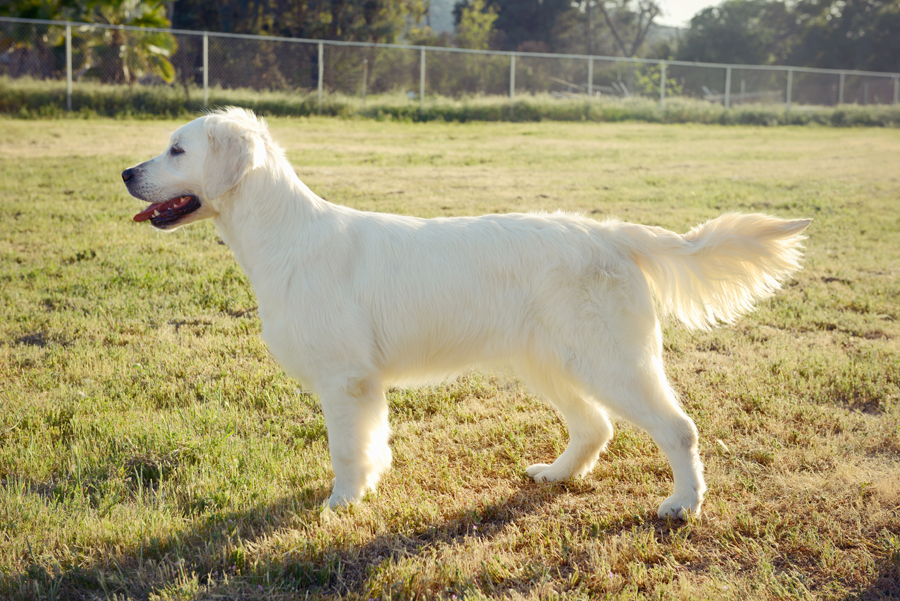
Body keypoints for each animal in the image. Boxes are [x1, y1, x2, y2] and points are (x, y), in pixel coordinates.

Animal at [121, 109, 808, 520]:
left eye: (176, 150)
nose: (126, 172)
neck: (285, 237)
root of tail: (612, 234)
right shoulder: (364, 385)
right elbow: (371, 443)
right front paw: (368, 488)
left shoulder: (344, 379)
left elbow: (345, 450)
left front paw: (340, 504)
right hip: (551, 362)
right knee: (595, 427)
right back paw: (556, 474)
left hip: (611, 360)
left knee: (678, 428)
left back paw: (683, 504)